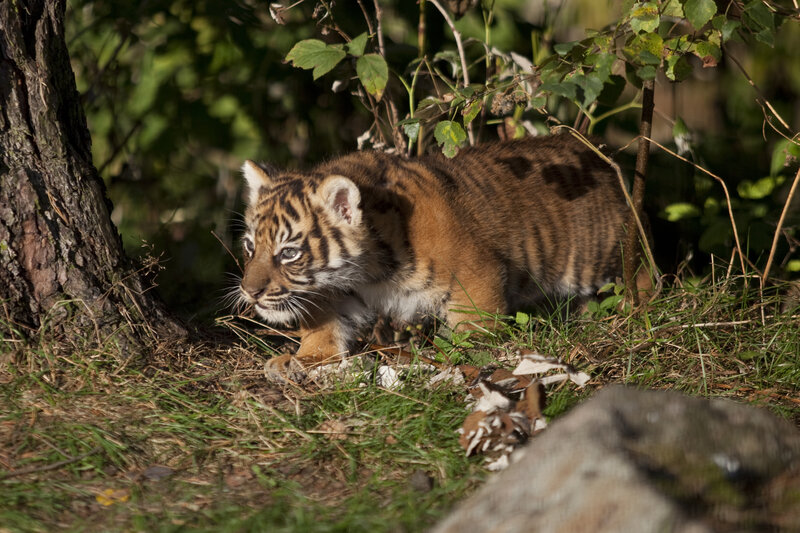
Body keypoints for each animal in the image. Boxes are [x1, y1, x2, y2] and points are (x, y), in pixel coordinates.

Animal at [238, 133, 647, 373]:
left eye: (289, 253)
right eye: (250, 246)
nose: (249, 292)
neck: (368, 271)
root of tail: (597, 154)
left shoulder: (475, 274)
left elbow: (475, 328)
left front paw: (464, 359)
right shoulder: (339, 290)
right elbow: (325, 326)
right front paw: (303, 359)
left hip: (603, 256)